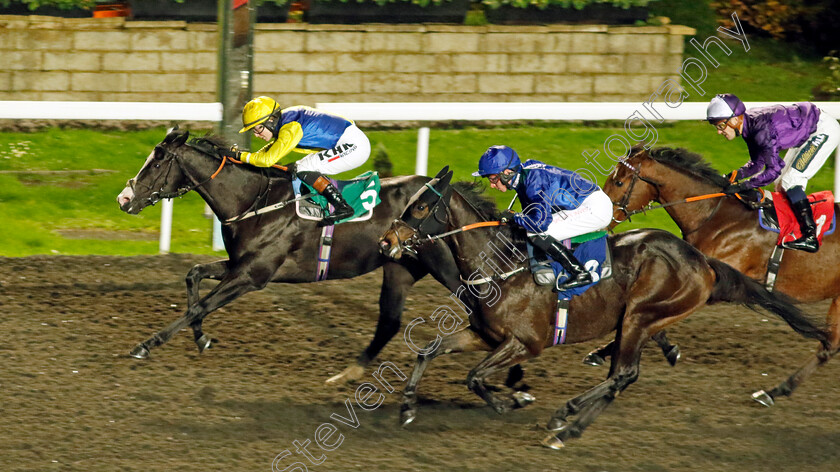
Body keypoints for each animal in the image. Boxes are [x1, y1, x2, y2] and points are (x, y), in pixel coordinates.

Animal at [114, 128, 470, 384]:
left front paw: (146, 345)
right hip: (400, 265)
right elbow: (194, 273)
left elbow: (199, 305)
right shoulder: (240, 266)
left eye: (156, 163)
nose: (123, 199)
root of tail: (448, 191)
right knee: (390, 321)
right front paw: (201, 338)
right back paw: (348, 373)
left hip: (447, 268)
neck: (256, 202)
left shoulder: (251, 276)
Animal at [380, 169, 828, 446]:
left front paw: (512, 402)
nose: (386, 242)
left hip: (640, 316)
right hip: (638, 321)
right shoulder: (484, 335)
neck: (501, 266)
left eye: (420, 208)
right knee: (619, 377)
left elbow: (474, 377)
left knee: (623, 374)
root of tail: (703, 262)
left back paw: (565, 422)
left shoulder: (525, 343)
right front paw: (407, 408)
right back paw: (568, 424)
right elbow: (429, 351)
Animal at [604, 148, 840, 406]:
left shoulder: (709, 284)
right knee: (830, 345)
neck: (716, 217)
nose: (602, 221)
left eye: (618, 182)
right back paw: (775, 391)